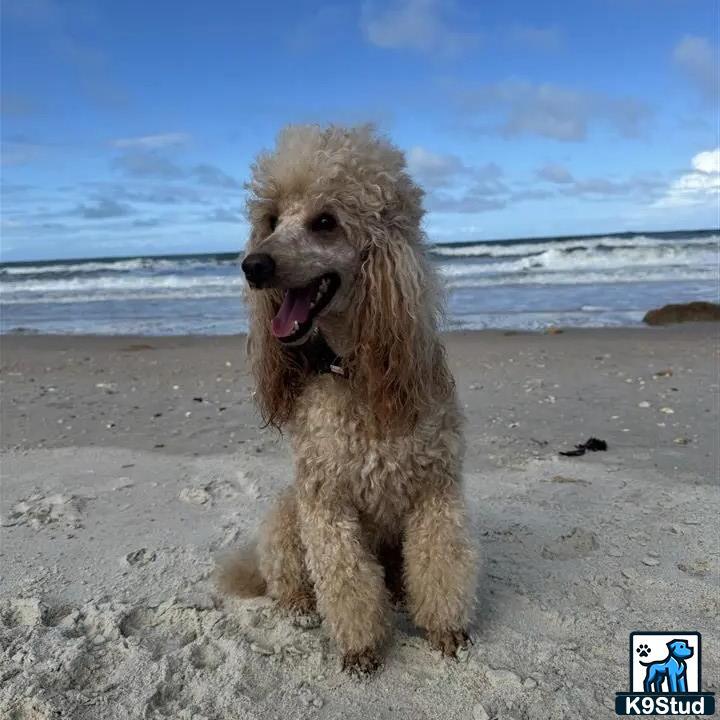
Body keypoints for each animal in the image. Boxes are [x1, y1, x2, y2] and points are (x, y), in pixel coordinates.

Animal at [219, 125, 478, 676]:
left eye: (325, 222)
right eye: (271, 220)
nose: (253, 265)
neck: (356, 370)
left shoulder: (436, 491)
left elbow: (441, 563)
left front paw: (446, 630)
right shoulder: (326, 501)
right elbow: (345, 579)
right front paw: (361, 647)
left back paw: (398, 594)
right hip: (287, 511)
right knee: (285, 574)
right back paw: (298, 605)